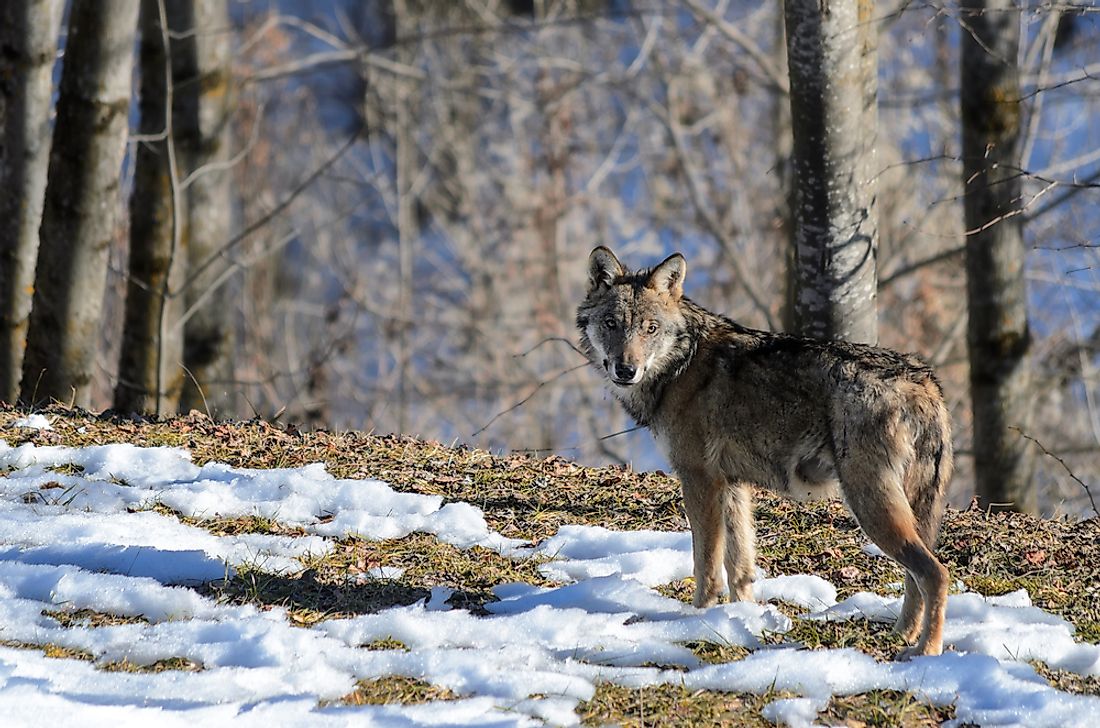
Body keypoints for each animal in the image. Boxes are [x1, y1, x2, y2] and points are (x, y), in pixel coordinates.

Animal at [576, 246, 954, 659]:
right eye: (611, 323)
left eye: (650, 328)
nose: (626, 369)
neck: (681, 366)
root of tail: (924, 382)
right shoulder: (732, 485)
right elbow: (739, 566)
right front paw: (742, 618)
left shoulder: (700, 479)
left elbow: (706, 565)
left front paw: (698, 619)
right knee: (916, 576)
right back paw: (901, 637)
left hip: (870, 505)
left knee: (936, 573)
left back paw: (926, 651)